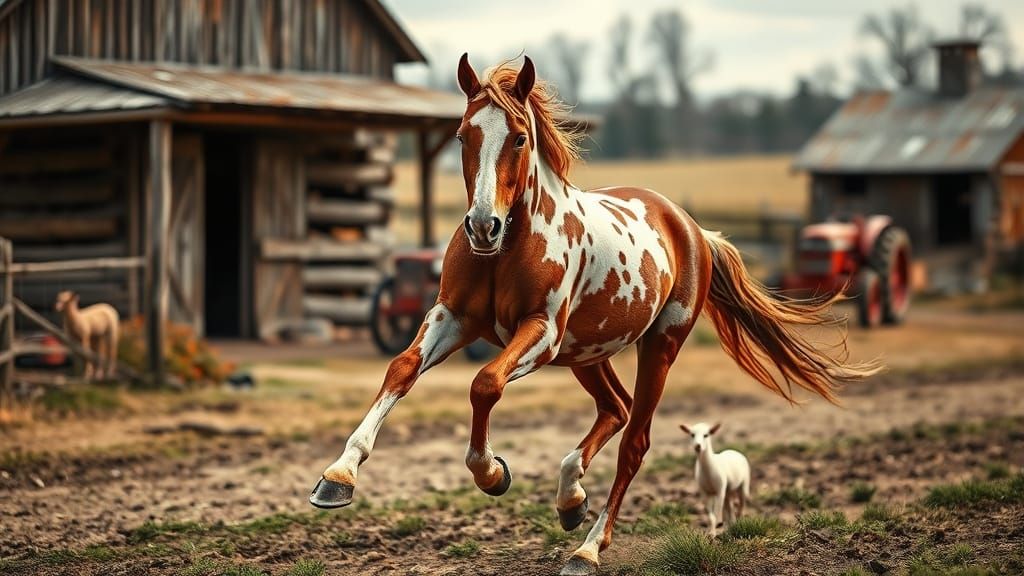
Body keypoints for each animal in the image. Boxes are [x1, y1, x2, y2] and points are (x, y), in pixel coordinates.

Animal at [310, 54, 880, 575]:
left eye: (519, 138)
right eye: (462, 135)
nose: (482, 226)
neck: (509, 247)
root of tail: (693, 229)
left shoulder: (539, 333)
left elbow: (485, 384)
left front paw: (492, 472)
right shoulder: (451, 317)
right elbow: (402, 369)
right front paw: (337, 477)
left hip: (657, 346)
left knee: (635, 439)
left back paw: (586, 548)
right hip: (586, 352)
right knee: (616, 408)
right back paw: (570, 500)